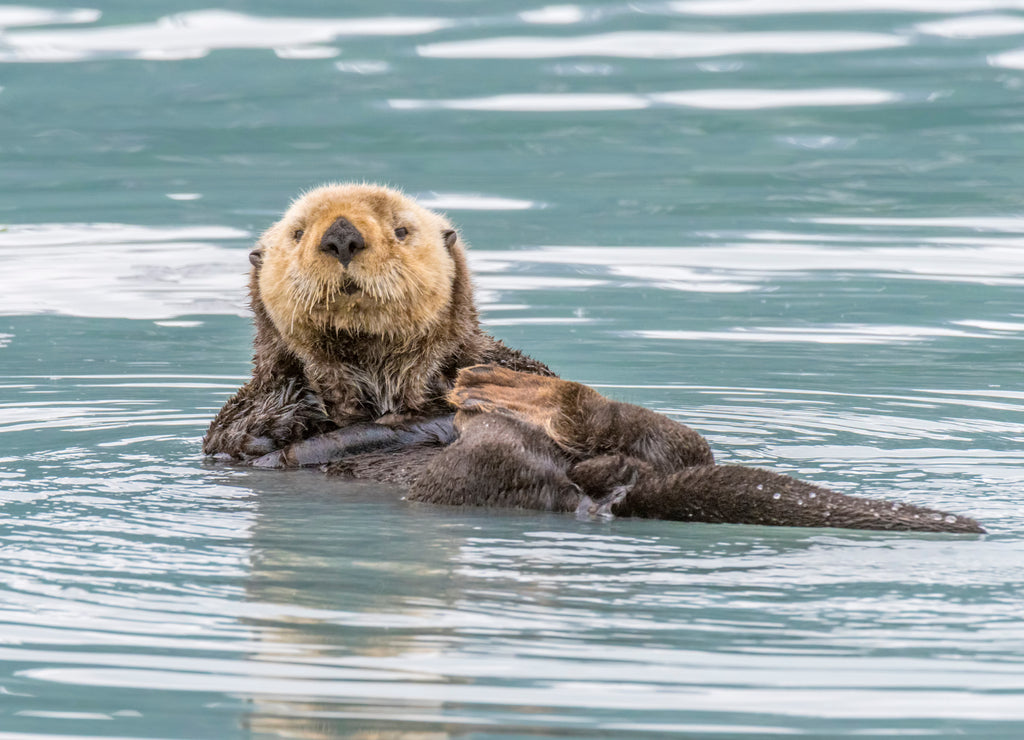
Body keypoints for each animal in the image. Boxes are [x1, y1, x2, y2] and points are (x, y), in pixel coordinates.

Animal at [205, 184, 985, 534]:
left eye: (400, 229)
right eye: (298, 232)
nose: (340, 235)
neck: (386, 385)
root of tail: (605, 488)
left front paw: (449, 403)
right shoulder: (241, 420)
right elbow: (262, 438)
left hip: (640, 446)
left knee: (680, 440)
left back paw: (522, 400)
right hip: (467, 483)